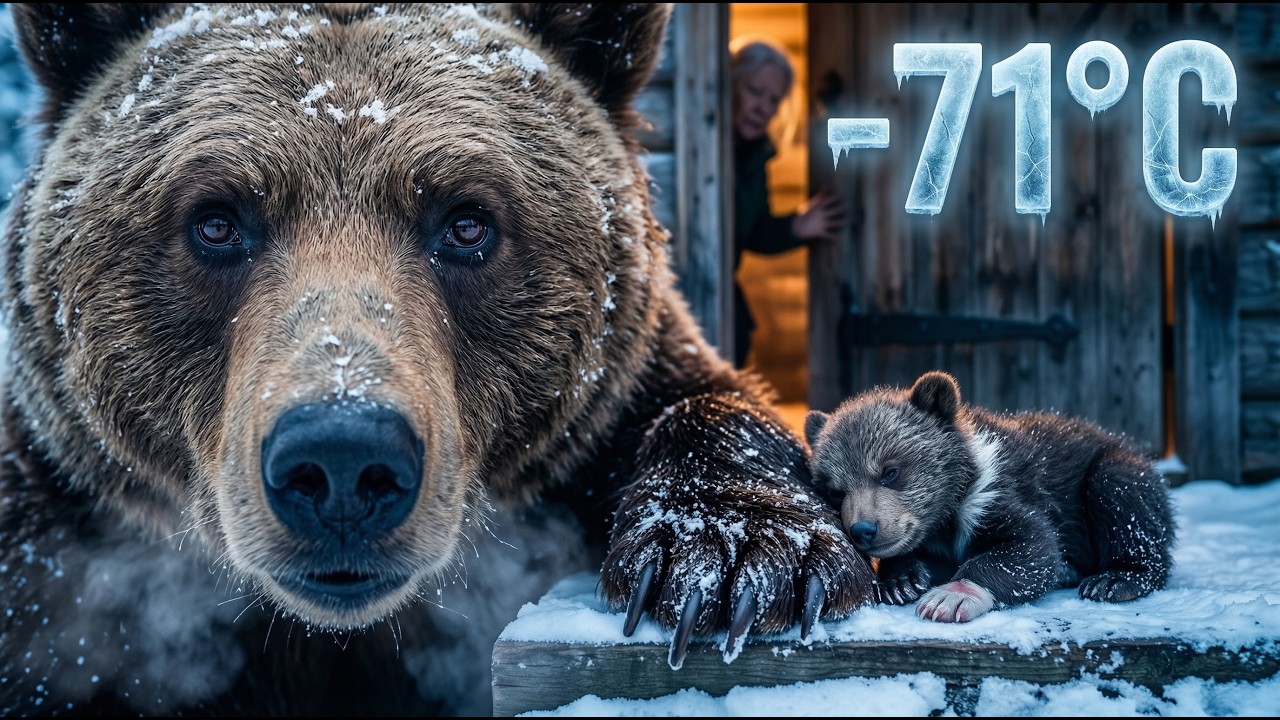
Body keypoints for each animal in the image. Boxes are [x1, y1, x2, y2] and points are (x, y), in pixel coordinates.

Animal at [0, 3, 877, 715]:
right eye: (215, 220)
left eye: (466, 221)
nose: (343, 459)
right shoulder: (53, 554)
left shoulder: (612, 405)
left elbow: (706, 412)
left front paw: (733, 555)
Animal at [804, 370, 1175, 624]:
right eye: (836, 490)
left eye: (890, 471)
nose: (864, 530)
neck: (948, 511)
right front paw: (901, 580)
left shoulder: (1000, 493)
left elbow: (1033, 547)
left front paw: (948, 598)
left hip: (1111, 470)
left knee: (1121, 496)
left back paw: (1115, 577)